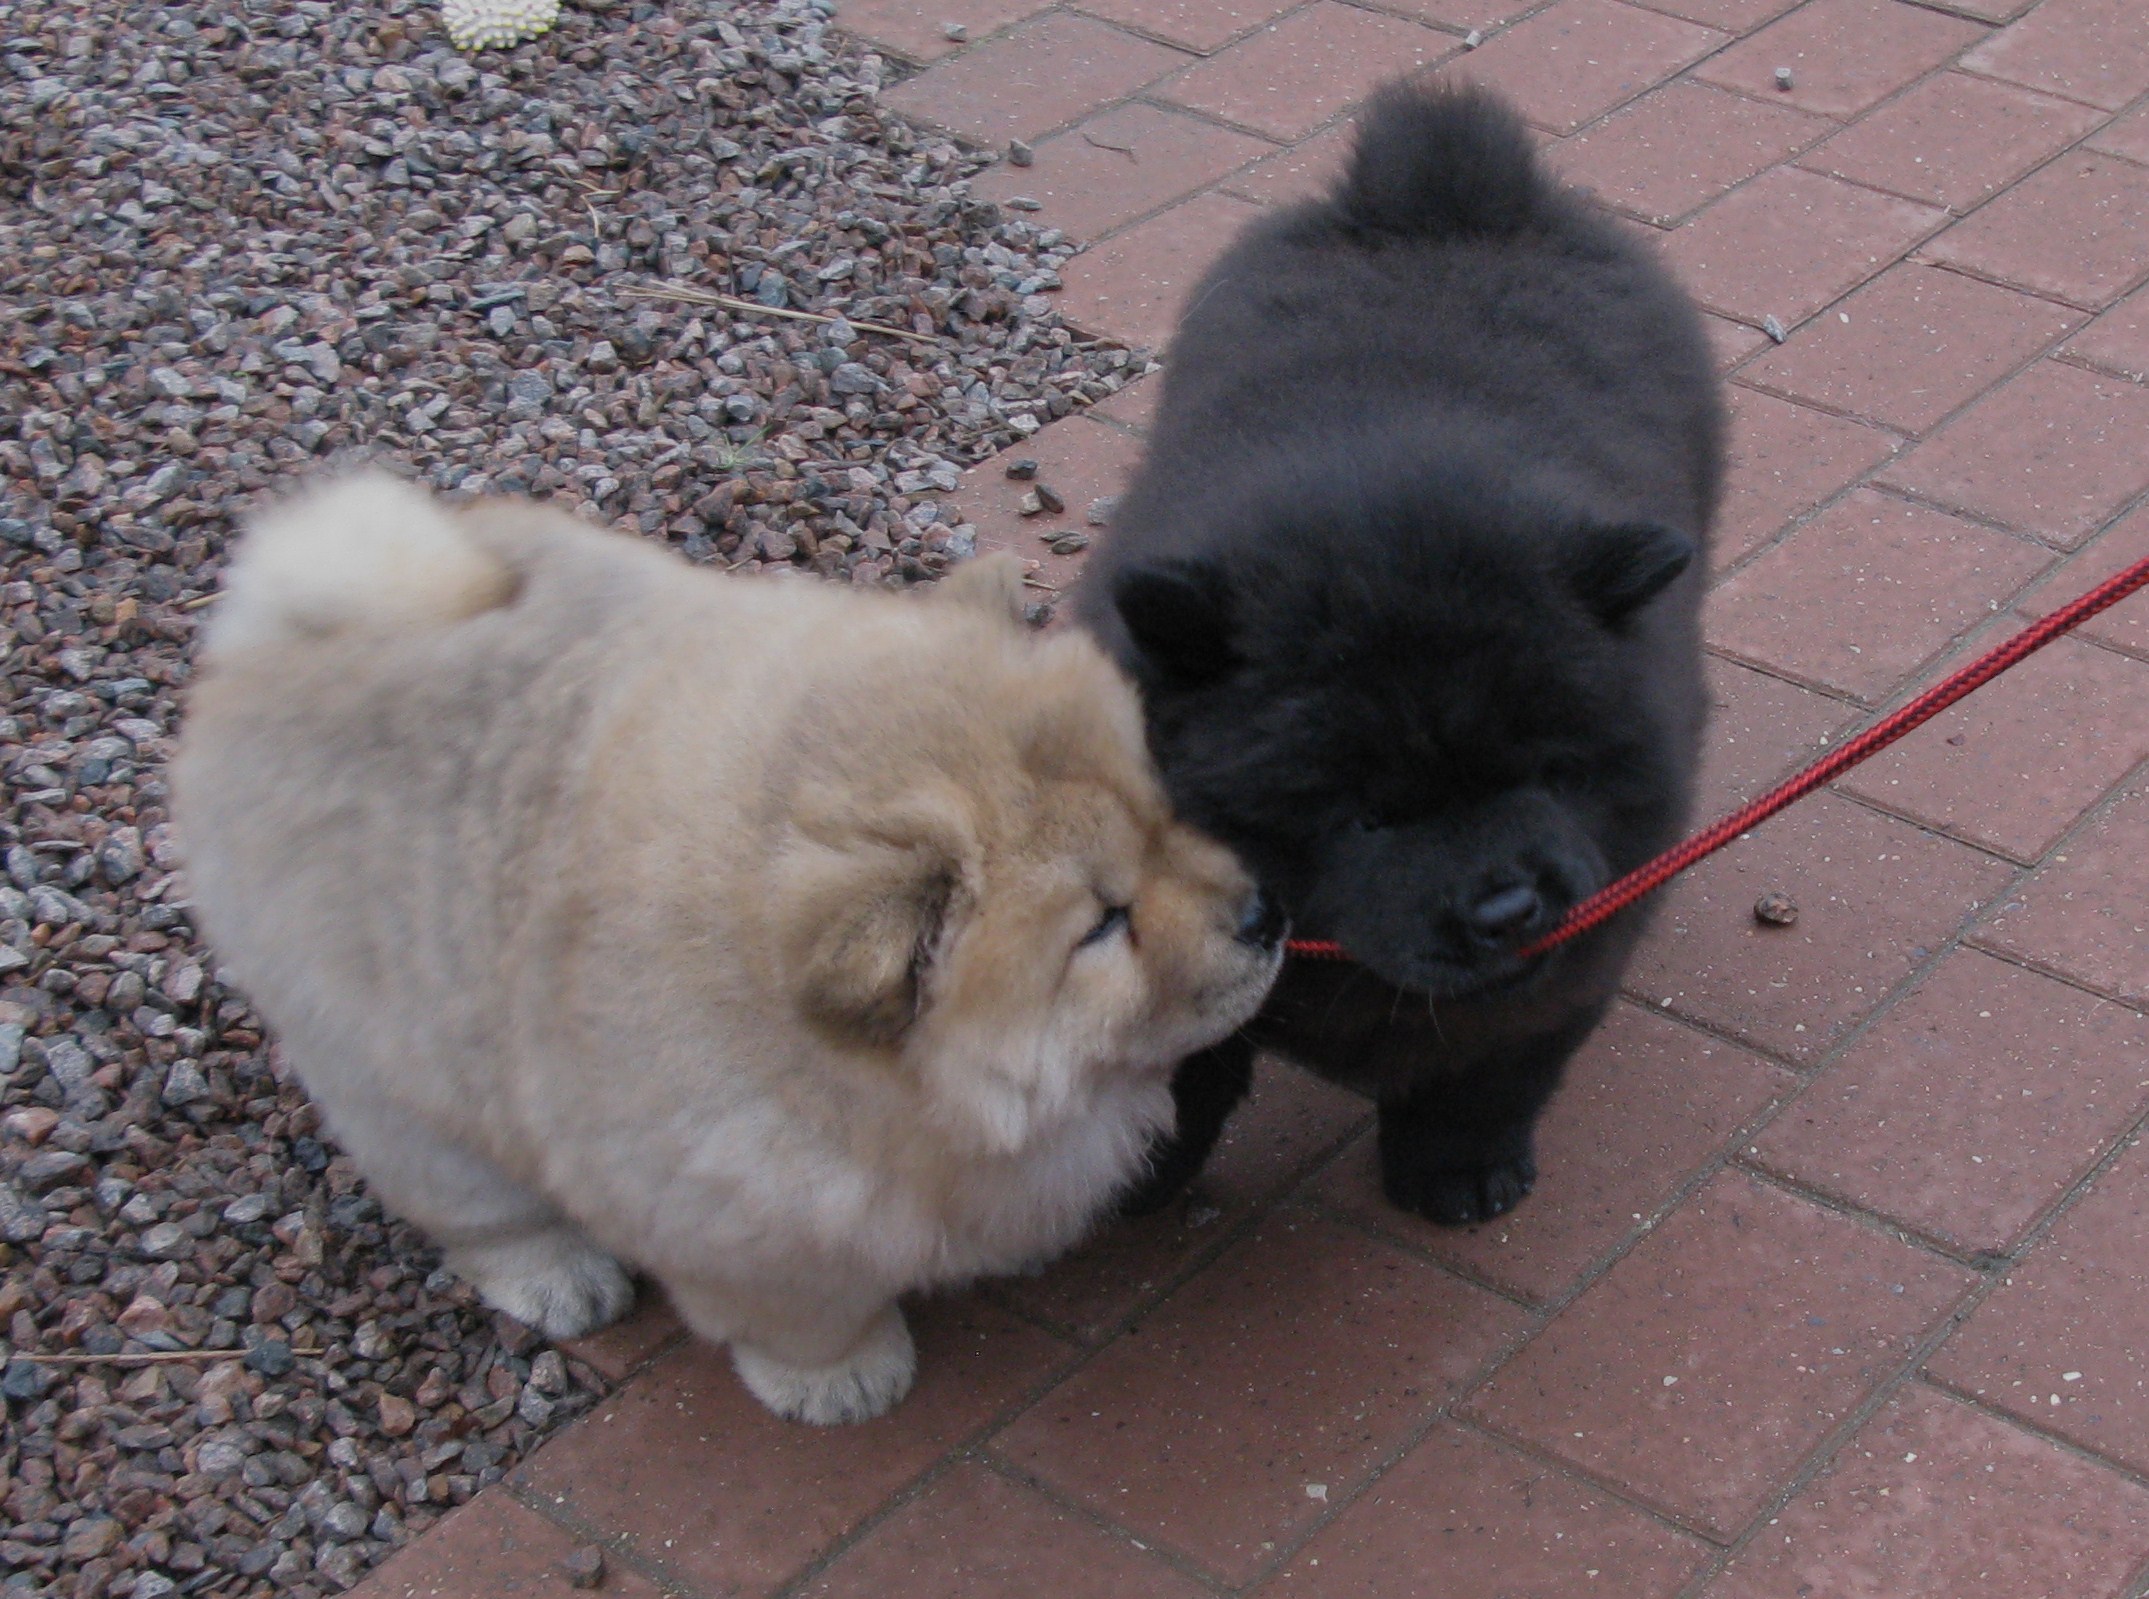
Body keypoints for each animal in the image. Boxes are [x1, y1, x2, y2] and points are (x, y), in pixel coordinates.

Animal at [176, 474, 1280, 1427]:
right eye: (1103, 923)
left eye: (1169, 813)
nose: (1265, 914)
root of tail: (286, 630)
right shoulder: (741, 1222)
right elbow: (806, 1315)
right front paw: (844, 1379)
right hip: (389, 1070)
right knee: (470, 1199)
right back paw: (558, 1277)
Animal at [1083, 81, 1719, 1220]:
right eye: (1364, 817)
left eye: (1546, 773)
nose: (1508, 905)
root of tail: (1439, 199)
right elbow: (1179, 1073)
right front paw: (1133, 1184)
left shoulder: (1581, 941)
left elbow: (1490, 1067)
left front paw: (1458, 1172)